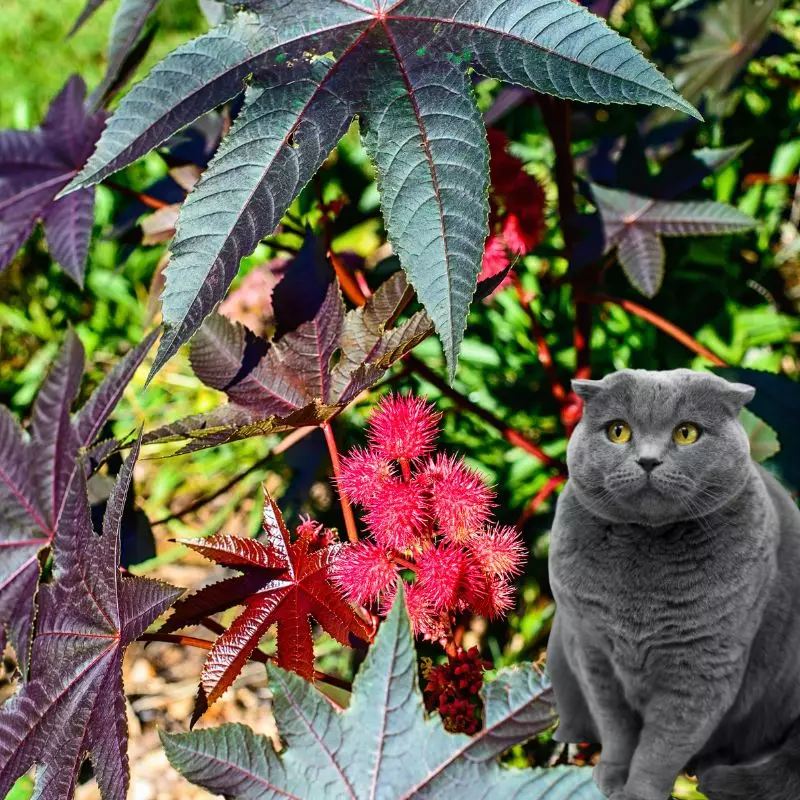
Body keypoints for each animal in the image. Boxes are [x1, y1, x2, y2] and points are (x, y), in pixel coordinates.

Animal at [548, 368, 800, 800]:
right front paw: (611, 775)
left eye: (686, 433)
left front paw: (636, 793)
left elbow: (662, 746)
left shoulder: (703, 665)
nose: (648, 460)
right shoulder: (592, 651)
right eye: (618, 431)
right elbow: (615, 726)